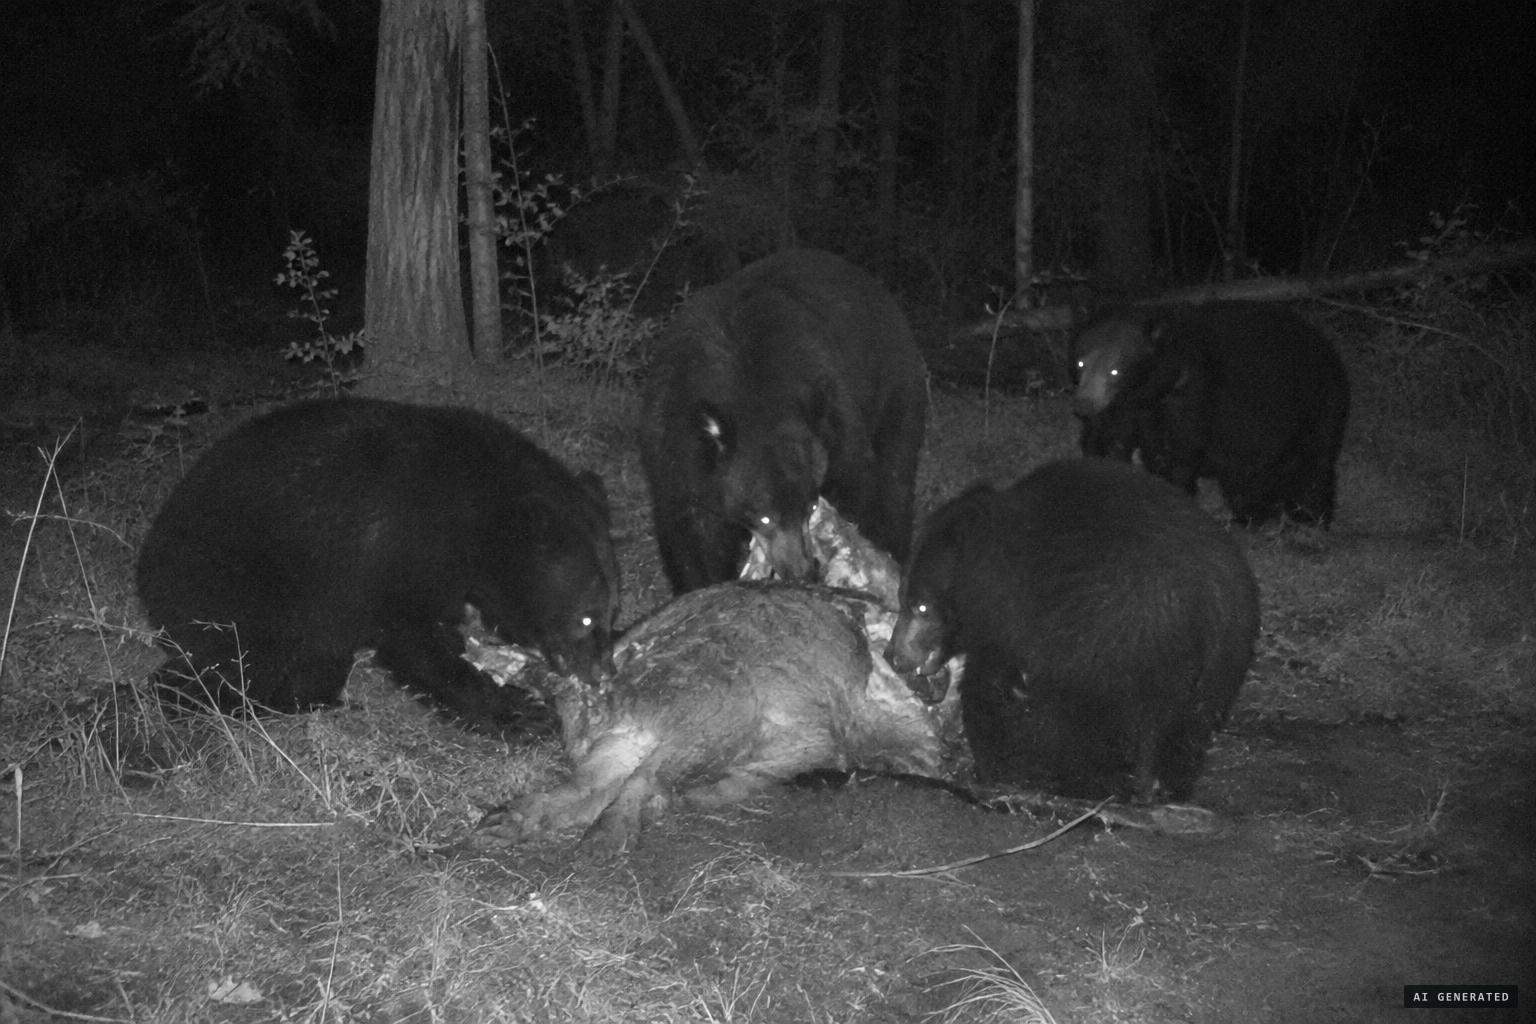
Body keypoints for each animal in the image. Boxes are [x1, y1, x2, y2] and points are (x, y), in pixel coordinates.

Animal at [136, 398, 621, 736]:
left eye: (614, 612)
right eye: (585, 617)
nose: (604, 674)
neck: (474, 510)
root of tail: (148, 560)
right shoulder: (391, 549)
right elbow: (411, 639)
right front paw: (519, 712)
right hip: (237, 590)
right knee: (260, 664)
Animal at [639, 248, 927, 594]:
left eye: (811, 506)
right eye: (765, 518)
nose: (802, 572)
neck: (750, 389)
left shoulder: (835, 415)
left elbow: (857, 484)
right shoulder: (672, 448)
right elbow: (691, 534)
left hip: (895, 388)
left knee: (896, 475)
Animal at [884, 458, 1260, 803]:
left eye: (920, 607)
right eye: (903, 598)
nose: (893, 656)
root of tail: (1203, 600)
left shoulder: (1007, 602)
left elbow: (989, 682)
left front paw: (993, 764)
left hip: (1112, 637)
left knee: (1080, 716)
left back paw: (1089, 782)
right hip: (1224, 656)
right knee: (1190, 724)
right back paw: (1164, 786)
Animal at [1072, 300, 1351, 528]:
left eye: (1115, 370)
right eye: (1080, 363)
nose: (1083, 404)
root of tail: (1331, 353)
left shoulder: (1193, 396)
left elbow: (1176, 455)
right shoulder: (1123, 409)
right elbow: (1109, 442)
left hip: (1318, 408)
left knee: (1312, 466)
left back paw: (1307, 518)